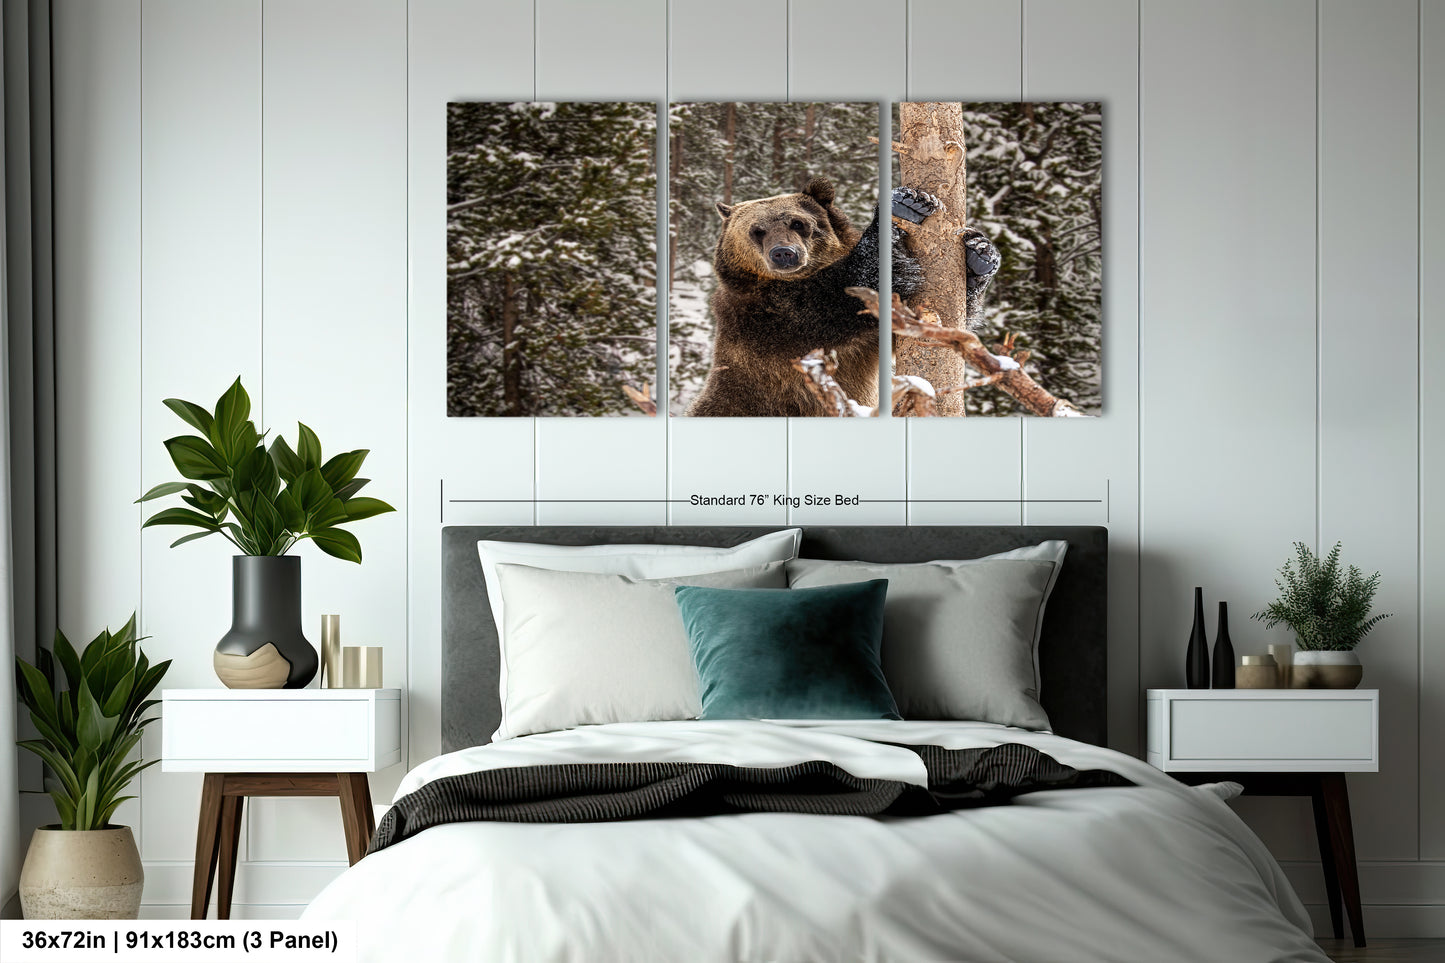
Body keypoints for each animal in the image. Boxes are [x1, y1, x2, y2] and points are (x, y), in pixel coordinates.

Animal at [684, 177, 999, 416]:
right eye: (757, 230)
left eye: (798, 223)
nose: (784, 253)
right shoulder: (769, 319)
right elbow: (841, 297)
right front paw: (901, 208)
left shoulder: (868, 342)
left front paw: (978, 254)